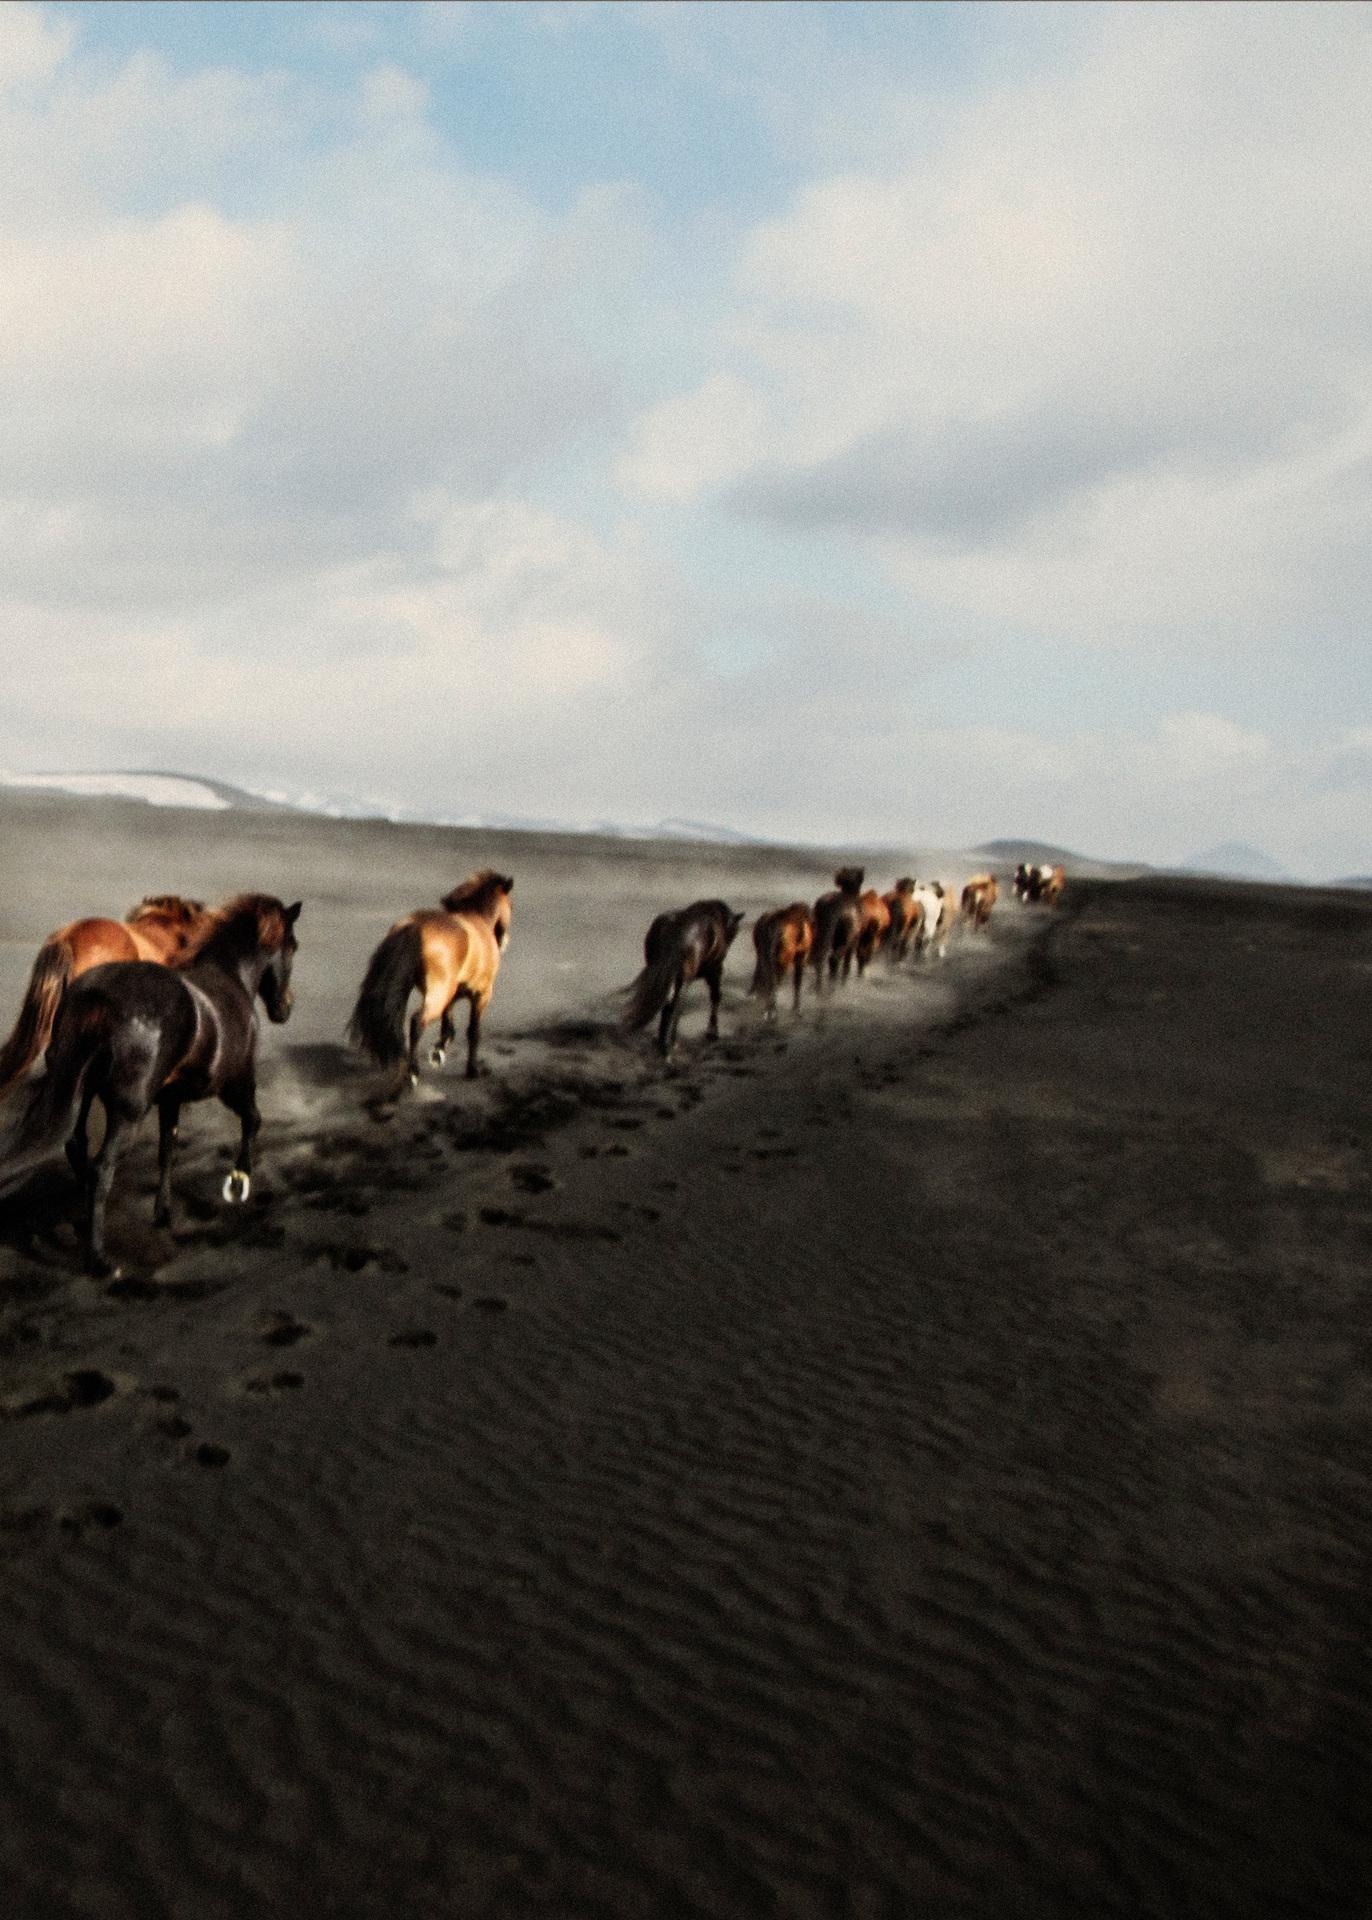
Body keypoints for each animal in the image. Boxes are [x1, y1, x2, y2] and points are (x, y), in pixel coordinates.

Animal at [345, 867, 514, 1090]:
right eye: (510, 904)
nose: (504, 942)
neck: (478, 920)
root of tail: (415, 926)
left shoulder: (452, 994)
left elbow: (447, 1023)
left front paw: (439, 1050)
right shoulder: (482, 995)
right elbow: (473, 1032)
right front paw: (472, 1070)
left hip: (419, 989)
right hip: (440, 993)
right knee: (417, 1022)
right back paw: (412, 1072)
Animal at [625, 902, 744, 1059]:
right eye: (734, 932)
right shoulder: (714, 970)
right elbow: (716, 996)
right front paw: (712, 1032)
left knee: (667, 1003)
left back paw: (663, 1044)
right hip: (684, 978)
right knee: (677, 1005)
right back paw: (671, 1044)